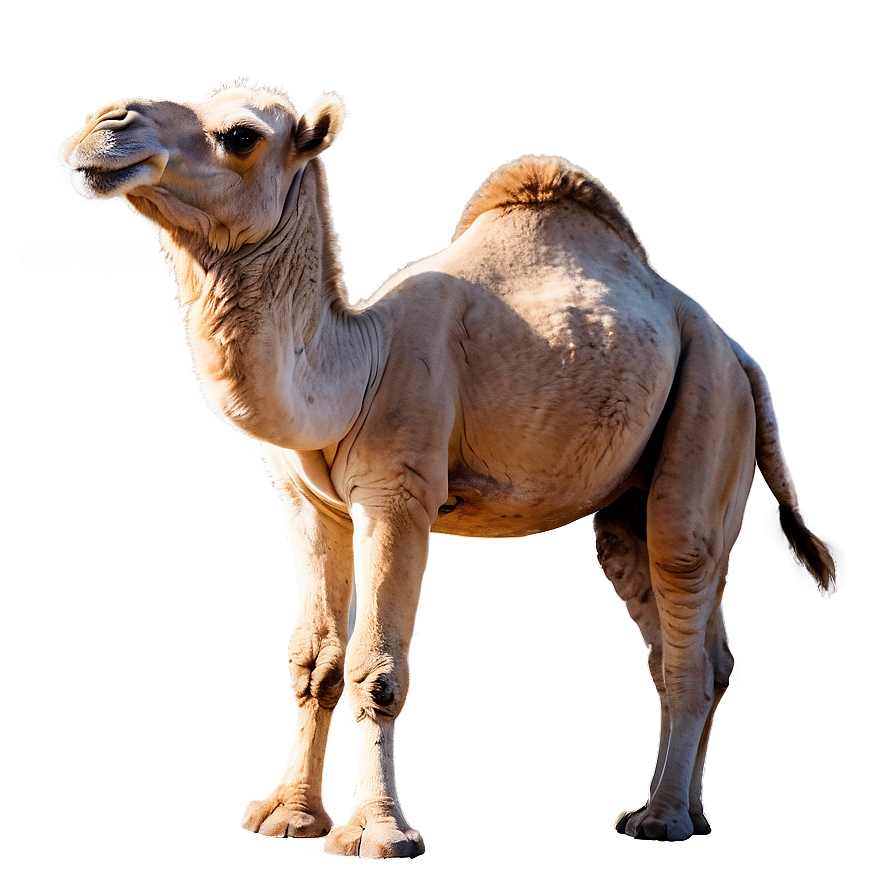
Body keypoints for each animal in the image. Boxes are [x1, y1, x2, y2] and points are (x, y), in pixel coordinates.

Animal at [60, 83, 835, 858]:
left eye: (240, 135)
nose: (107, 123)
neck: (356, 366)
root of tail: (737, 349)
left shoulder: (399, 496)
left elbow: (376, 669)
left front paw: (378, 836)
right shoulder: (307, 505)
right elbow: (315, 664)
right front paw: (289, 818)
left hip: (708, 404)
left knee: (685, 603)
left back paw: (662, 820)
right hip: (650, 477)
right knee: (686, 626)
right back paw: (690, 815)